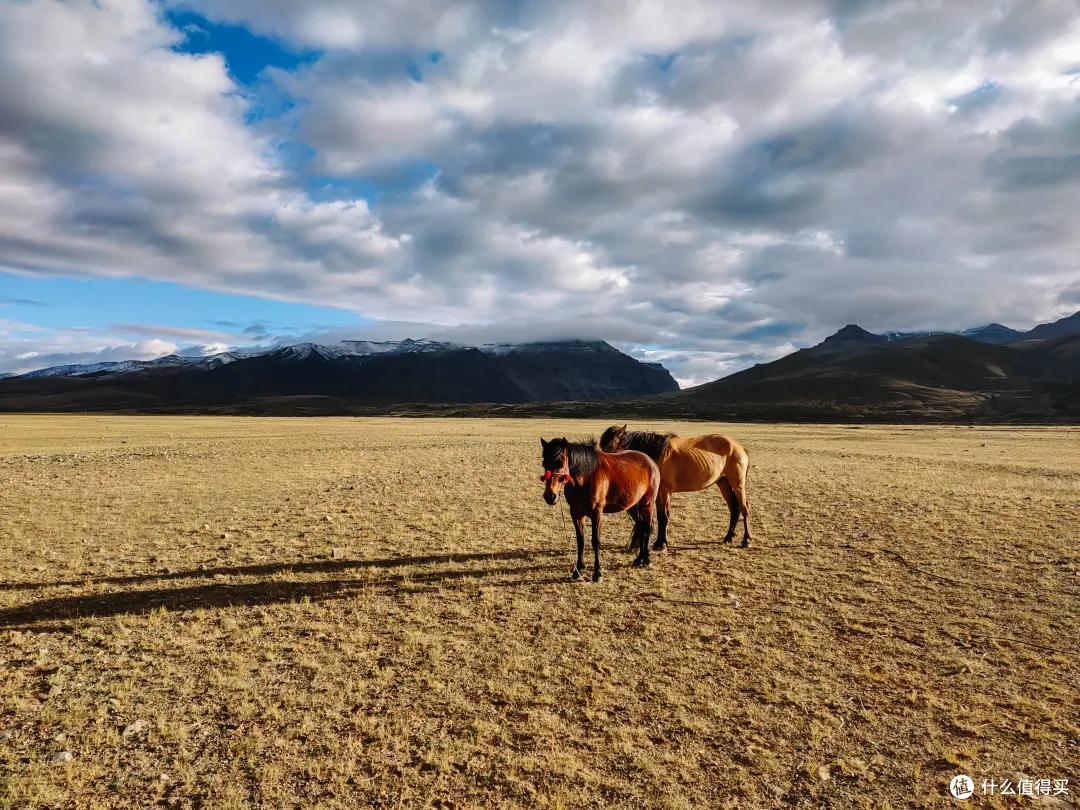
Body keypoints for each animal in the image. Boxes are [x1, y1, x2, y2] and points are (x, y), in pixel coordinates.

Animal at [537, 438, 656, 583]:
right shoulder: (576, 513)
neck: (586, 477)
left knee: (648, 527)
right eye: (544, 464)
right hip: (632, 506)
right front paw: (578, 571)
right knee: (641, 525)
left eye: (560, 463)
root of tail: (650, 461)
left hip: (647, 503)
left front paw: (597, 573)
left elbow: (596, 541)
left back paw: (647, 559)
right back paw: (639, 559)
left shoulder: (597, 513)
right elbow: (581, 541)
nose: (550, 496)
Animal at [600, 425, 751, 552]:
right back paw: (729, 537)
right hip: (723, 482)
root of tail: (739, 447)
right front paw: (659, 542)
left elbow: (664, 517)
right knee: (734, 508)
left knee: (744, 508)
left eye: (610, 445)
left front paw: (661, 544)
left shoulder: (665, 492)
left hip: (738, 483)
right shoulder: (658, 494)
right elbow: (660, 516)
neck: (656, 455)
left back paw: (746, 540)